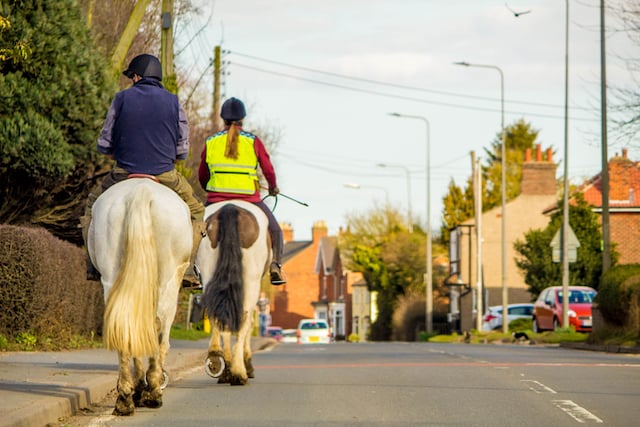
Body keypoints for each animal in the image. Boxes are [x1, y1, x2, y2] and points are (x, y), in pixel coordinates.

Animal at [88, 178, 192, 418]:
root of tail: (140, 190)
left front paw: (137, 389)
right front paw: (148, 388)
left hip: (111, 275)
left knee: (124, 325)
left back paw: (125, 398)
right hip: (167, 281)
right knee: (159, 327)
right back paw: (153, 391)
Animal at [198, 202, 272, 386]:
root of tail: (230, 208)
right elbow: (249, 325)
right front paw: (247, 364)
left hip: (209, 274)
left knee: (218, 316)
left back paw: (219, 361)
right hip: (251, 282)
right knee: (243, 320)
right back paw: (239, 372)